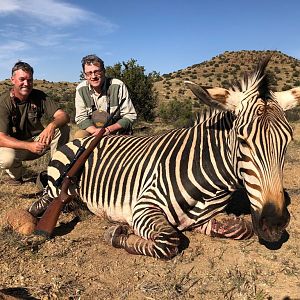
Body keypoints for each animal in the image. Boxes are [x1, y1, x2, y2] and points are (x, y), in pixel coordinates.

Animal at [42, 57, 300, 258]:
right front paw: (116, 234)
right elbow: (167, 242)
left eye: (287, 141)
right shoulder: (143, 206)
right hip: (57, 183)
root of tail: (79, 141)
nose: (274, 224)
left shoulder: (206, 216)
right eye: (242, 139)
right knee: (46, 197)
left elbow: (241, 228)